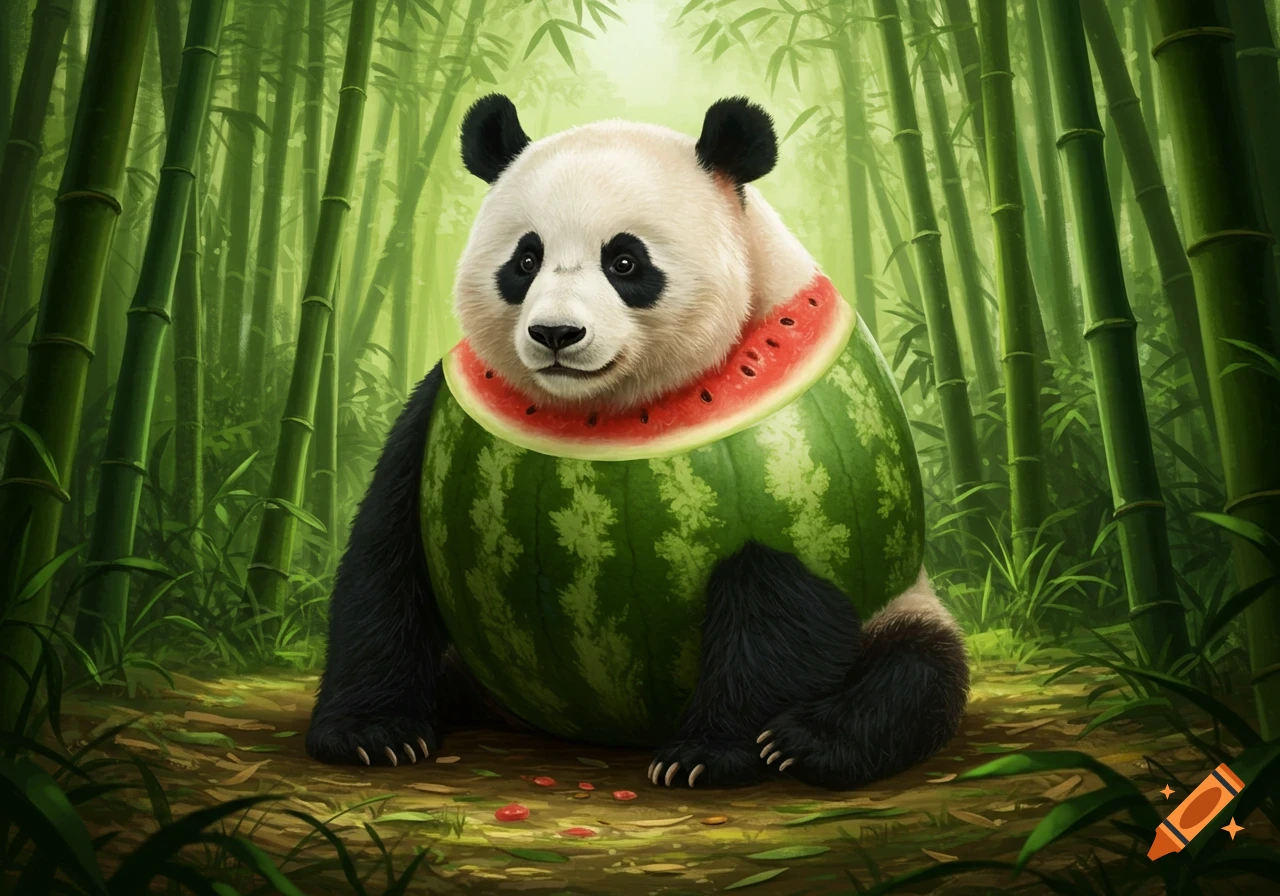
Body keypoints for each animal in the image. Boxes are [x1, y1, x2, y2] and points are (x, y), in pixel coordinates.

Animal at [304, 94, 970, 791]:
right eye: (525, 261)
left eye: (625, 262)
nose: (556, 334)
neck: (610, 410)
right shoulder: (431, 414)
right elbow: (383, 561)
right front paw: (371, 734)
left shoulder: (800, 477)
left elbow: (783, 606)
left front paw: (705, 754)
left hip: (905, 606)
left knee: (916, 672)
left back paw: (811, 741)